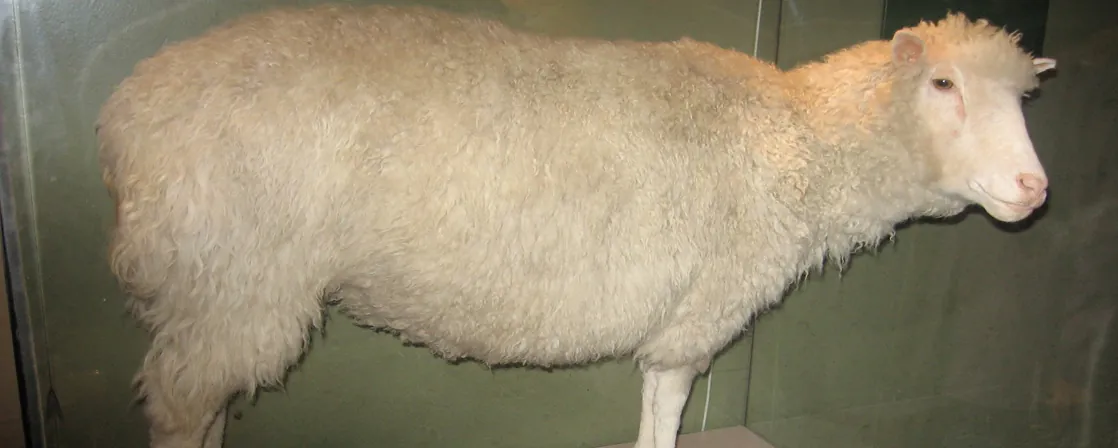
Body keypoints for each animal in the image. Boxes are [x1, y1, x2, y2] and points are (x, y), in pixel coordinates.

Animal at [96, 4, 1055, 446]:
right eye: (943, 86)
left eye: (1024, 100)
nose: (1034, 187)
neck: (793, 140)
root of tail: (128, 111)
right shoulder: (697, 313)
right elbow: (665, 417)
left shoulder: (680, 317)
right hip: (232, 276)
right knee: (181, 411)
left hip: (217, 298)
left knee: (207, 404)